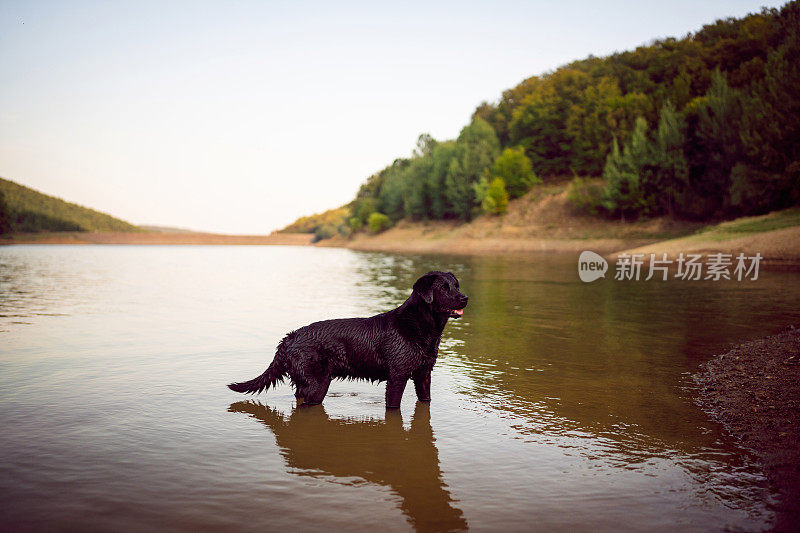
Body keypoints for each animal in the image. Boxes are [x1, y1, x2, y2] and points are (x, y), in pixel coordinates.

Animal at [228, 270, 468, 408]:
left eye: (457, 285)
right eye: (443, 288)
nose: (465, 298)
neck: (420, 326)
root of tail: (290, 336)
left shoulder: (423, 374)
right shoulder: (397, 377)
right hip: (317, 384)